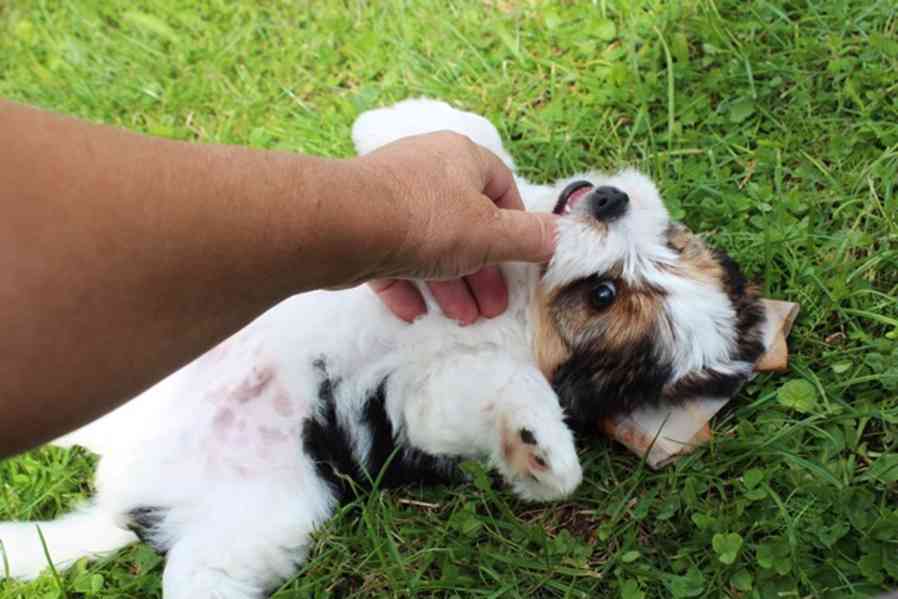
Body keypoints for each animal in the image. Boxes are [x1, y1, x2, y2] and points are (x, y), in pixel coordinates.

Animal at [0, 99, 764, 599]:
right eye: (671, 243)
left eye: (603, 296)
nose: (609, 200)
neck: (527, 295)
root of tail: (131, 501)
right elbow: (471, 144)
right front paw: (401, 119)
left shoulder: (430, 394)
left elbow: (495, 397)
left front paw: (538, 450)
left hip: (259, 521)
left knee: (198, 575)